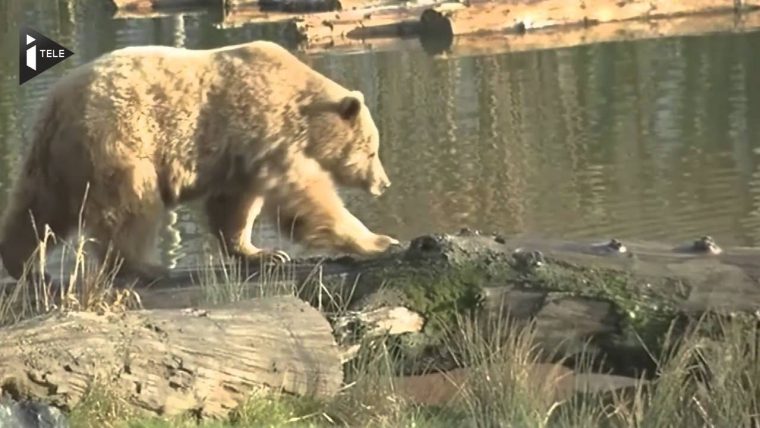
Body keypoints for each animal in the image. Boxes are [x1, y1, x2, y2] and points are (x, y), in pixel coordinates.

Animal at [0, 39, 400, 280]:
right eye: (372, 150)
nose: (384, 183)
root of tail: (56, 103)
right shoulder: (271, 134)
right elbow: (305, 198)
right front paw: (379, 240)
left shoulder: (241, 159)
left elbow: (235, 207)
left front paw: (262, 252)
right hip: (121, 142)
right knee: (130, 207)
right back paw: (146, 267)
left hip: (53, 159)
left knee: (37, 209)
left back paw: (25, 265)